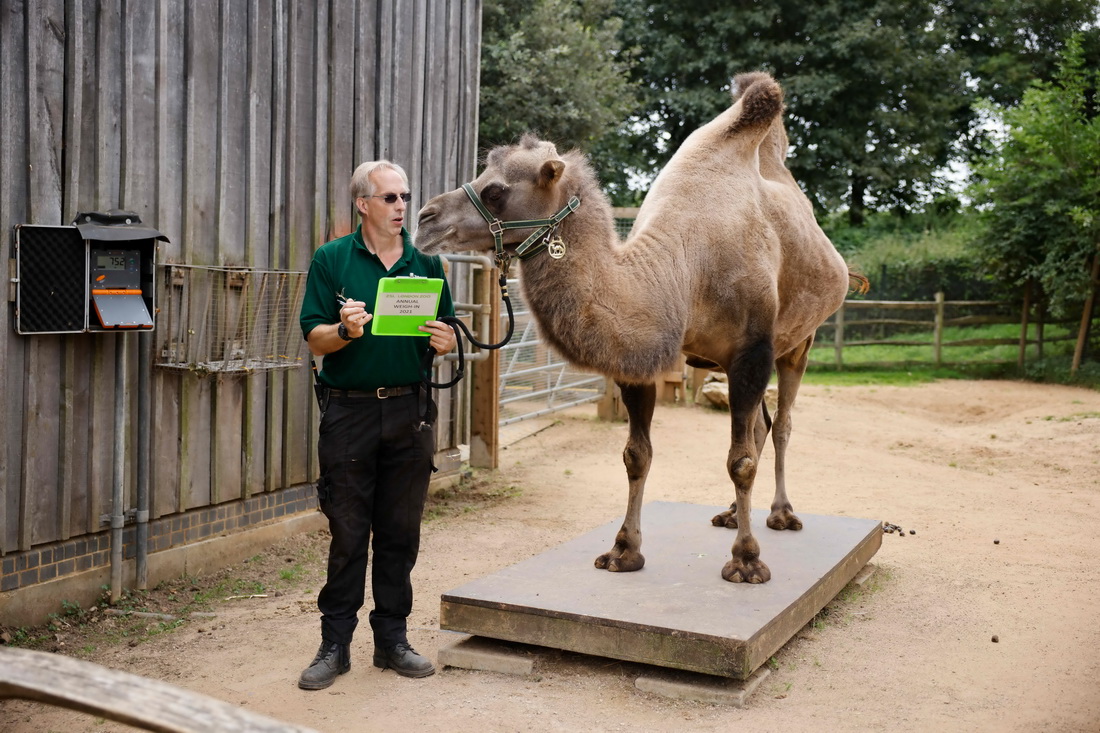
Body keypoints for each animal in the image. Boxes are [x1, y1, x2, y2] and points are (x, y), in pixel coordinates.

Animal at [413, 71, 858, 581]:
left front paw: (747, 561)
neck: (685, 268)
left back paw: (781, 514)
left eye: (495, 191)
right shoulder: (640, 359)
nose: (424, 218)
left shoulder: (752, 350)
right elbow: (636, 454)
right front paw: (624, 551)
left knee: (781, 424)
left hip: (799, 341)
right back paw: (730, 514)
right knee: (761, 427)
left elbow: (740, 460)